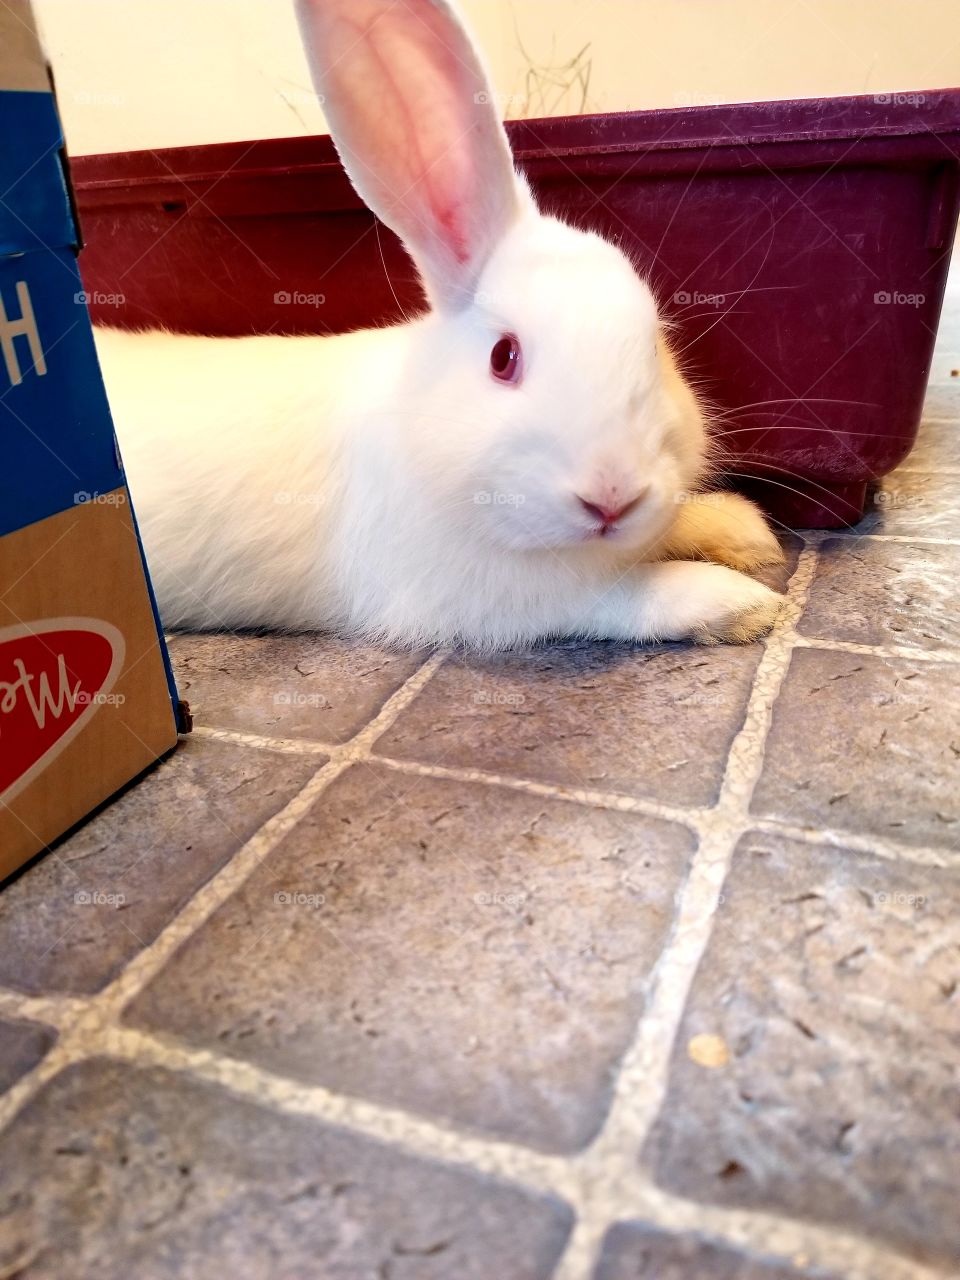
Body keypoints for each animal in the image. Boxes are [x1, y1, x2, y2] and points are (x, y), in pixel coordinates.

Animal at [94, 0, 786, 652]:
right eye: (503, 357)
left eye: (655, 345)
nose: (611, 494)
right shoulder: (495, 598)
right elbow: (620, 595)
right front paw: (741, 604)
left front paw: (747, 534)